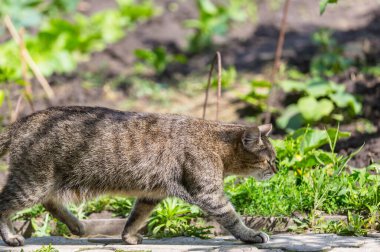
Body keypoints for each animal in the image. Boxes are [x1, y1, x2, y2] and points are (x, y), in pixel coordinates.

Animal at [0, 106, 276, 246]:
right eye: (269, 159)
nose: (277, 169)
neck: (217, 144)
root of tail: (21, 122)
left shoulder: (151, 194)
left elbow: (136, 217)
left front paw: (128, 237)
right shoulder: (208, 193)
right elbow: (231, 217)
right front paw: (251, 235)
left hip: (44, 182)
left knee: (50, 203)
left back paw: (77, 225)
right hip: (33, 183)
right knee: (5, 203)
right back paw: (11, 237)